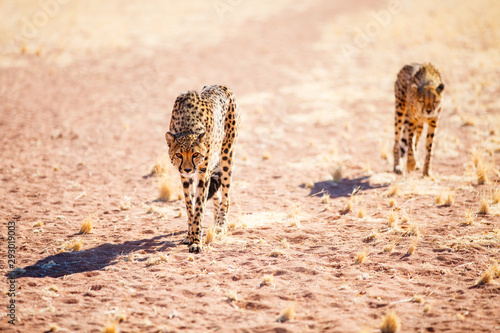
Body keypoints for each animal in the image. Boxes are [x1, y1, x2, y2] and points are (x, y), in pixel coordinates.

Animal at [165, 85, 241, 252]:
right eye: (179, 154)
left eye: (195, 154)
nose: (187, 169)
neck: (188, 127)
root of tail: (222, 86)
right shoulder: (185, 177)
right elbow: (190, 206)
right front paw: (190, 235)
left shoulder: (202, 173)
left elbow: (199, 206)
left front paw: (196, 241)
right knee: (217, 196)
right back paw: (215, 221)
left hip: (227, 155)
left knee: (226, 195)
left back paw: (220, 225)